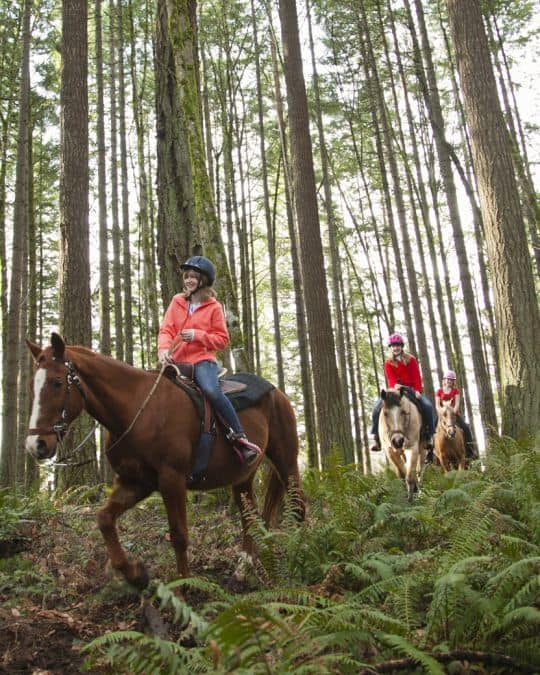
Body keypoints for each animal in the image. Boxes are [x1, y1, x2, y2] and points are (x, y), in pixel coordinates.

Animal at [25, 336, 306, 588]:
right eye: (33, 385)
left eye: (57, 382)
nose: (35, 445)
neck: (137, 410)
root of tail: (278, 392)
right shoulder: (135, 482)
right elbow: (104, 518)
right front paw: (136, 574)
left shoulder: (172, 479)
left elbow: (179, 535)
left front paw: (182, 589)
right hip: (242, 477)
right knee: (250, 518)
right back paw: (241, 571)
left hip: (286, 461)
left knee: (298, 503)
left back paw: (302, 554)